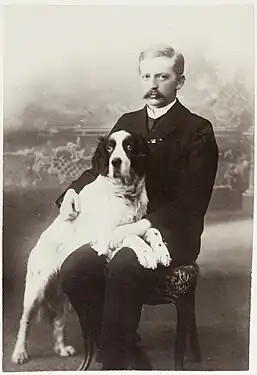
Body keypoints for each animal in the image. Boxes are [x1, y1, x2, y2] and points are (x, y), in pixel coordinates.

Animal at [12, 131, 172, 364]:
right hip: (36, 289)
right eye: (109, 148)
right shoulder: (105, 238)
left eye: (130, 146)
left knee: (58, 321)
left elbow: (151, 230)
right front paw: (147, 255)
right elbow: (130, 236)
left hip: (61, 294)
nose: (116, 162)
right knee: (25, 321)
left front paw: (161, 251)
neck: (123, 193)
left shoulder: (140, 222)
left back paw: (62, 348)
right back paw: (19, 353)